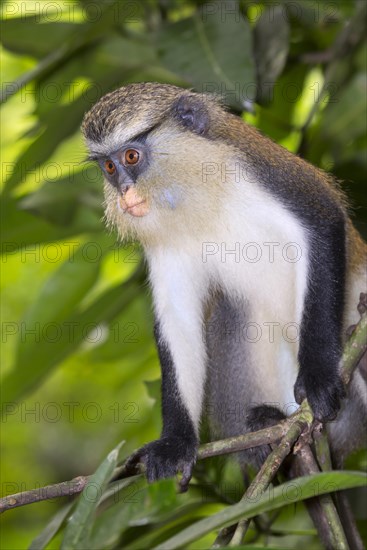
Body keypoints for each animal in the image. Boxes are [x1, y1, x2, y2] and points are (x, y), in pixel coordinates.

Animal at [81, 83, 367, 492]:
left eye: (131, 156)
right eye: (108, 167)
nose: (124, 193)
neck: (199, 194)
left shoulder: (266, 176)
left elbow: (323, 222)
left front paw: (318, 377)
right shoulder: (166, 245)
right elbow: (180, 320)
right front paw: (176, 442)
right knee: (232, 313)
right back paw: (265, 427)